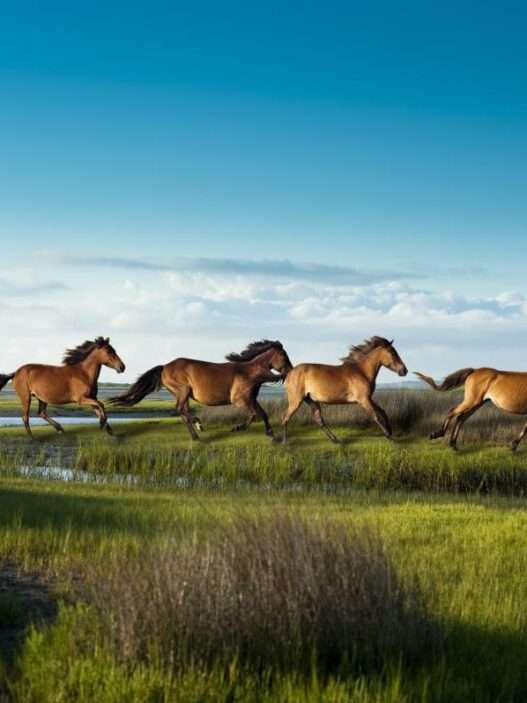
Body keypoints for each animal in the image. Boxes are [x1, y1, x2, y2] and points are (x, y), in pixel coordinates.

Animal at [109, 340, 293, 440]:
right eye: (284, 356)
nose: (290, 371)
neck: (249, 373)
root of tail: (164, 367)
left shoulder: (251, 400)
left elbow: (264, 414)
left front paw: (271, 434)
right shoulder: (241, 401)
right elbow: (255, 415)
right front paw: (237, 428)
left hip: (184, 395)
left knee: (184, 412)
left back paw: (196, 433)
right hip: (183, 391)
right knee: (180, 410)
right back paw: (198, 426)